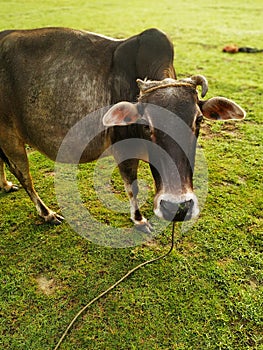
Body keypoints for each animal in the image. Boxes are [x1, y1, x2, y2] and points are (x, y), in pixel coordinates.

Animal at [0, 27, 246, 232]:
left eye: (199, 120)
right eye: (146, 124)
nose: (177, 208)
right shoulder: (123, 150)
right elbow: (132, 187)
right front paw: (139, 220)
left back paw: (6, 185)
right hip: (9, 135)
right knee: (23, 175)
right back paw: (47, 213)